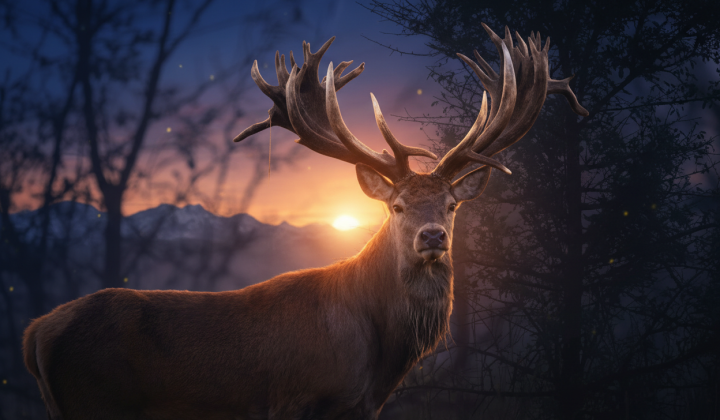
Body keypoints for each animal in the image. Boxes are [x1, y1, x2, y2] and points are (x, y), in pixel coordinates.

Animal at [23, 24, 587, 420]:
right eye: (397, 206)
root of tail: (34, 335)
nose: (433, 236)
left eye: (452, 205)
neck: (377, 359)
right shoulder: (297, 398)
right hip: (94, 401)